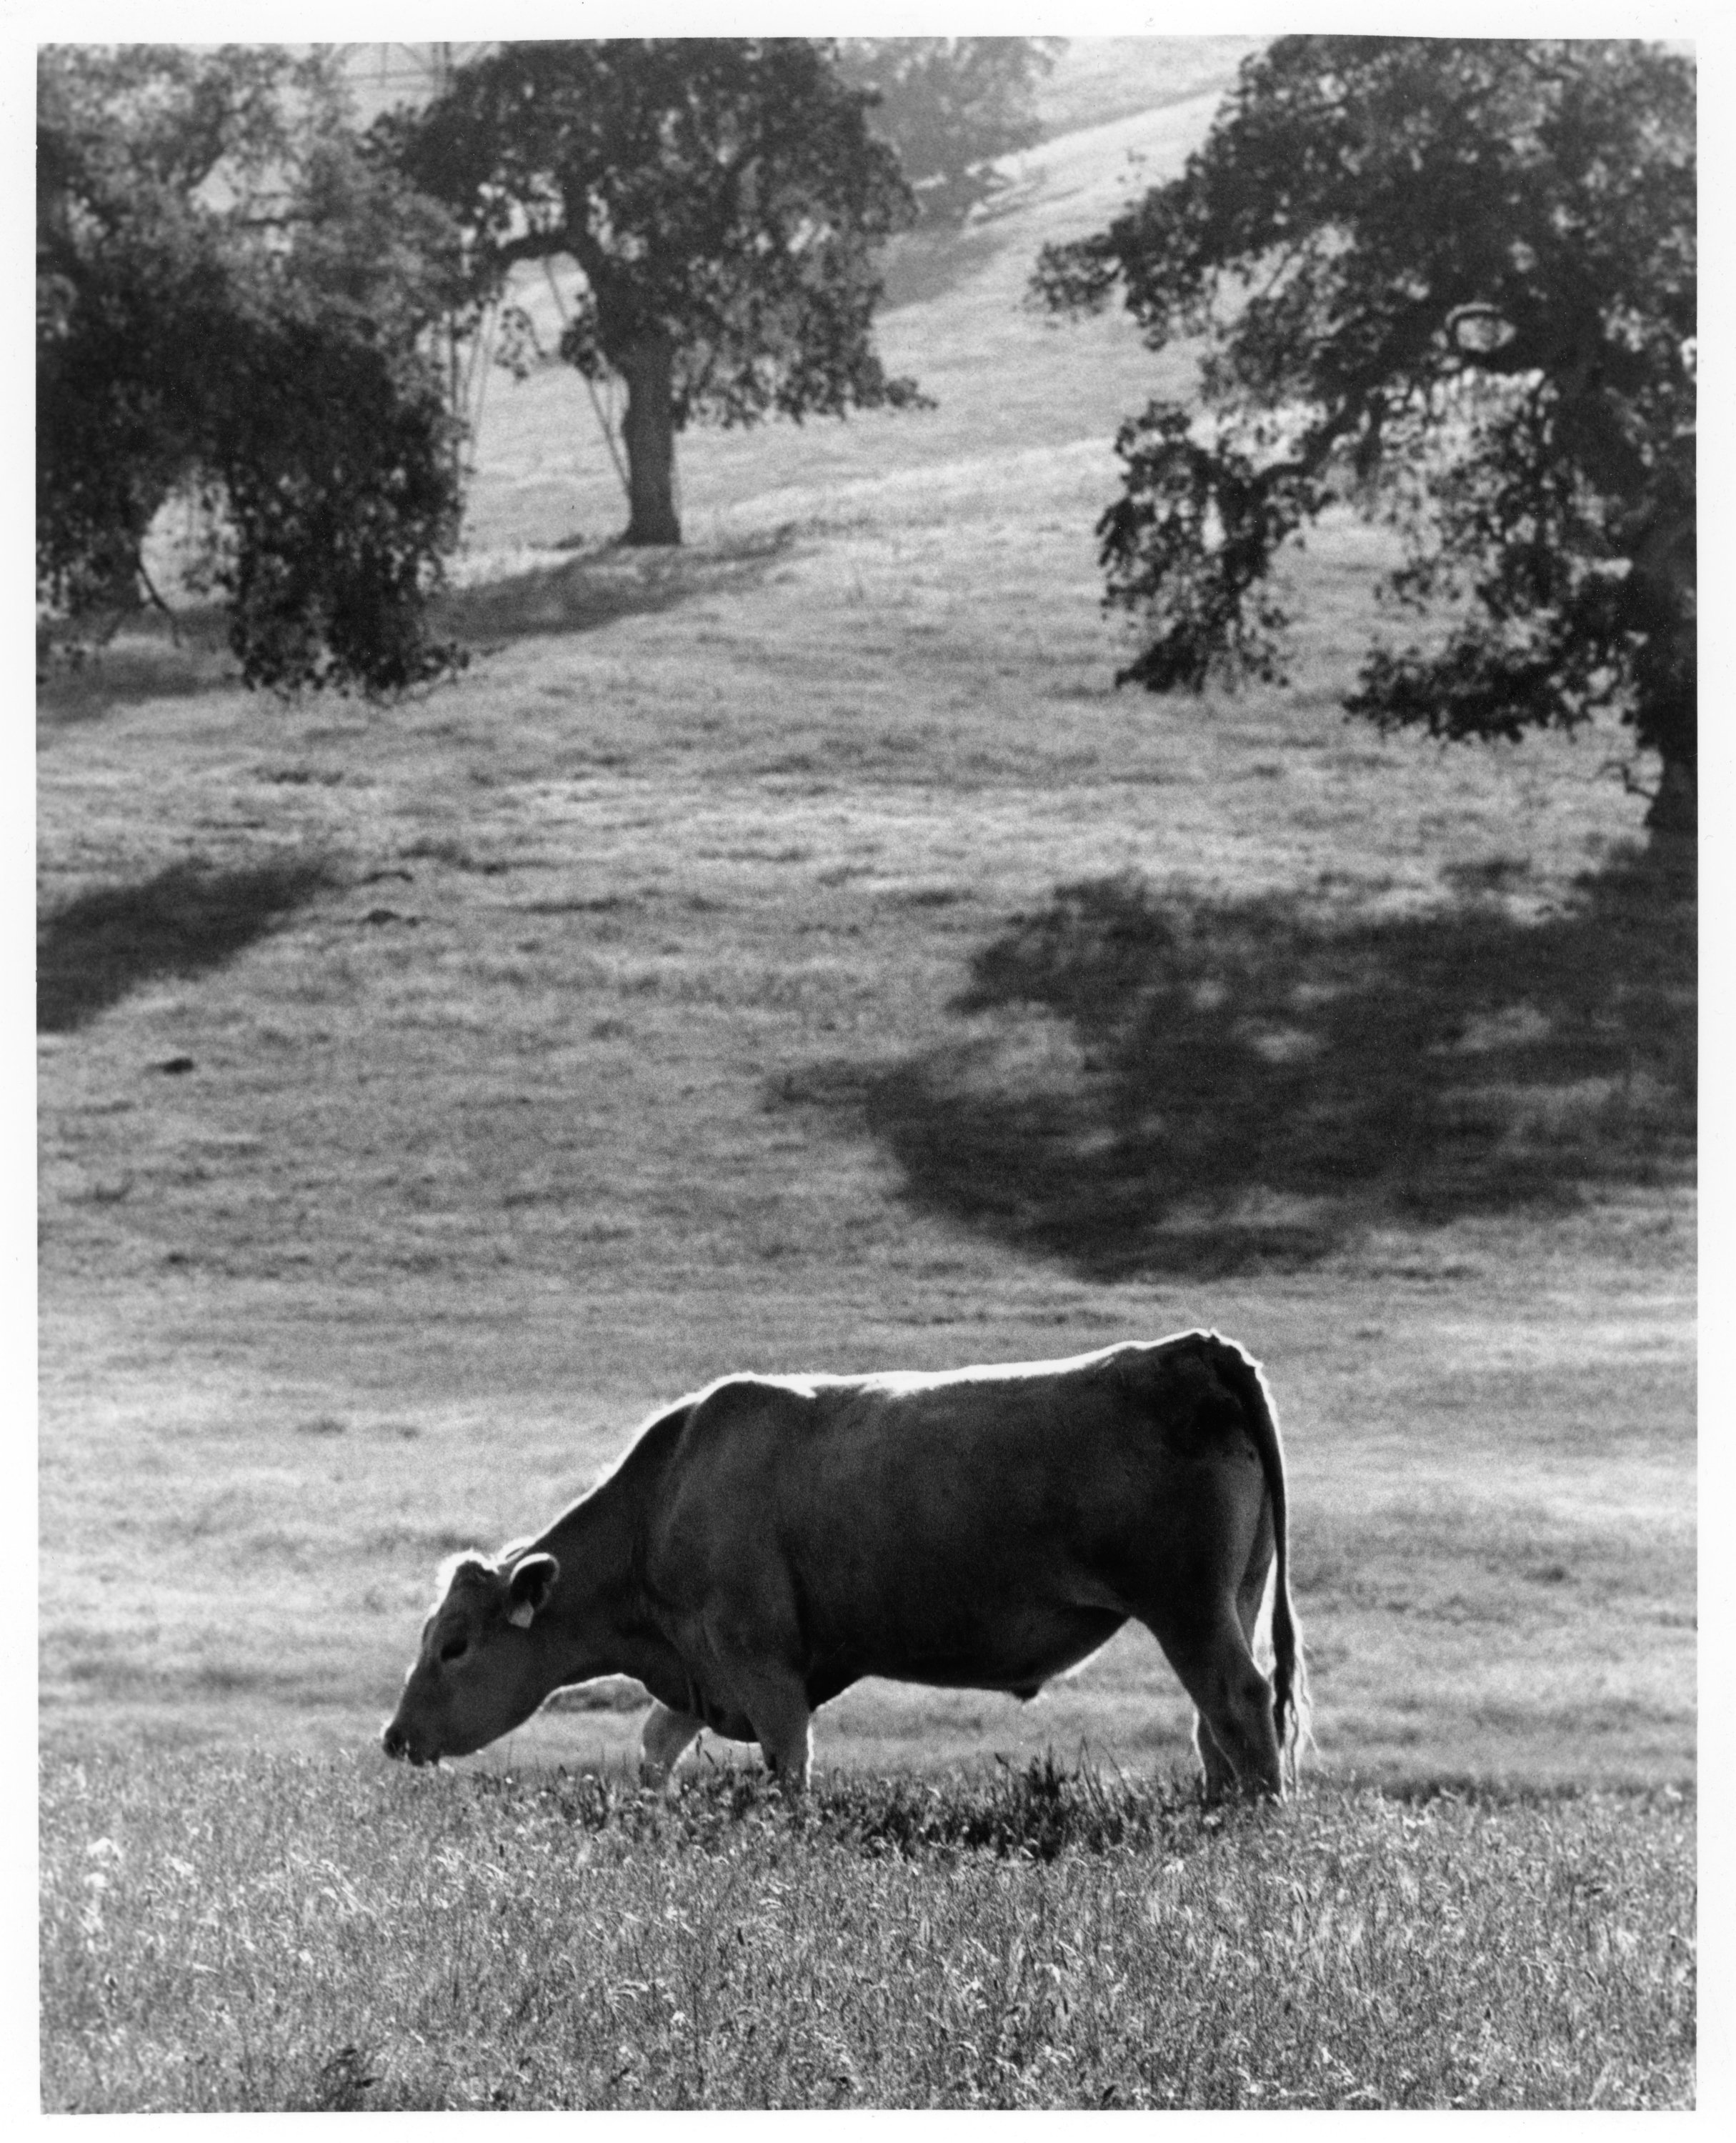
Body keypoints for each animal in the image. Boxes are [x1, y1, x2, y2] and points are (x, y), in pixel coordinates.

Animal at [381, 1330, 1308, 1798]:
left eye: (454, 1645)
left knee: (1237, 1705)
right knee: (1218, 1727)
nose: (394, 1738)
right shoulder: (702, 1673)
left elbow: (791, 1772)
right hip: (1232, 1598)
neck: (669, 1491)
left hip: (1187, 1608)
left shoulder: (762, 1665)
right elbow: (653, 1747)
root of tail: (1192, 1349)